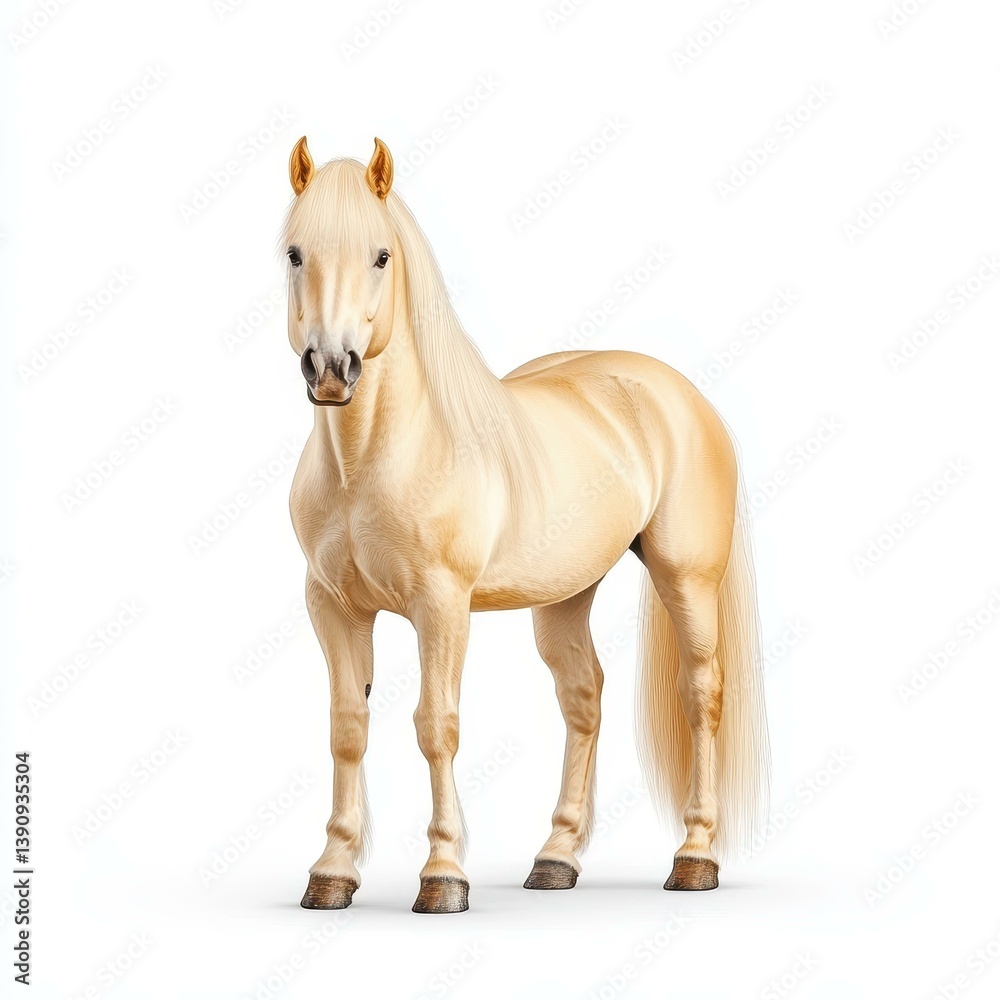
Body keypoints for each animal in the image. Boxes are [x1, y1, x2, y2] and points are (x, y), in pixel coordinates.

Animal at [281, 136, 769, 914]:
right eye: (295, 252)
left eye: (382, 255)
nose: (331, 369)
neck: (372, 460)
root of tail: (682, 394)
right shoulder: (332, 606)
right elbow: (347, 728)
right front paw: (331, 872)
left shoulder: (441, 605)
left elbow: (436, 725)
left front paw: (443, 876)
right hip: (565, 595)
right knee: (584, 698)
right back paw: (556, 859)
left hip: (687, 580)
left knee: (702, 696)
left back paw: (695, 858)